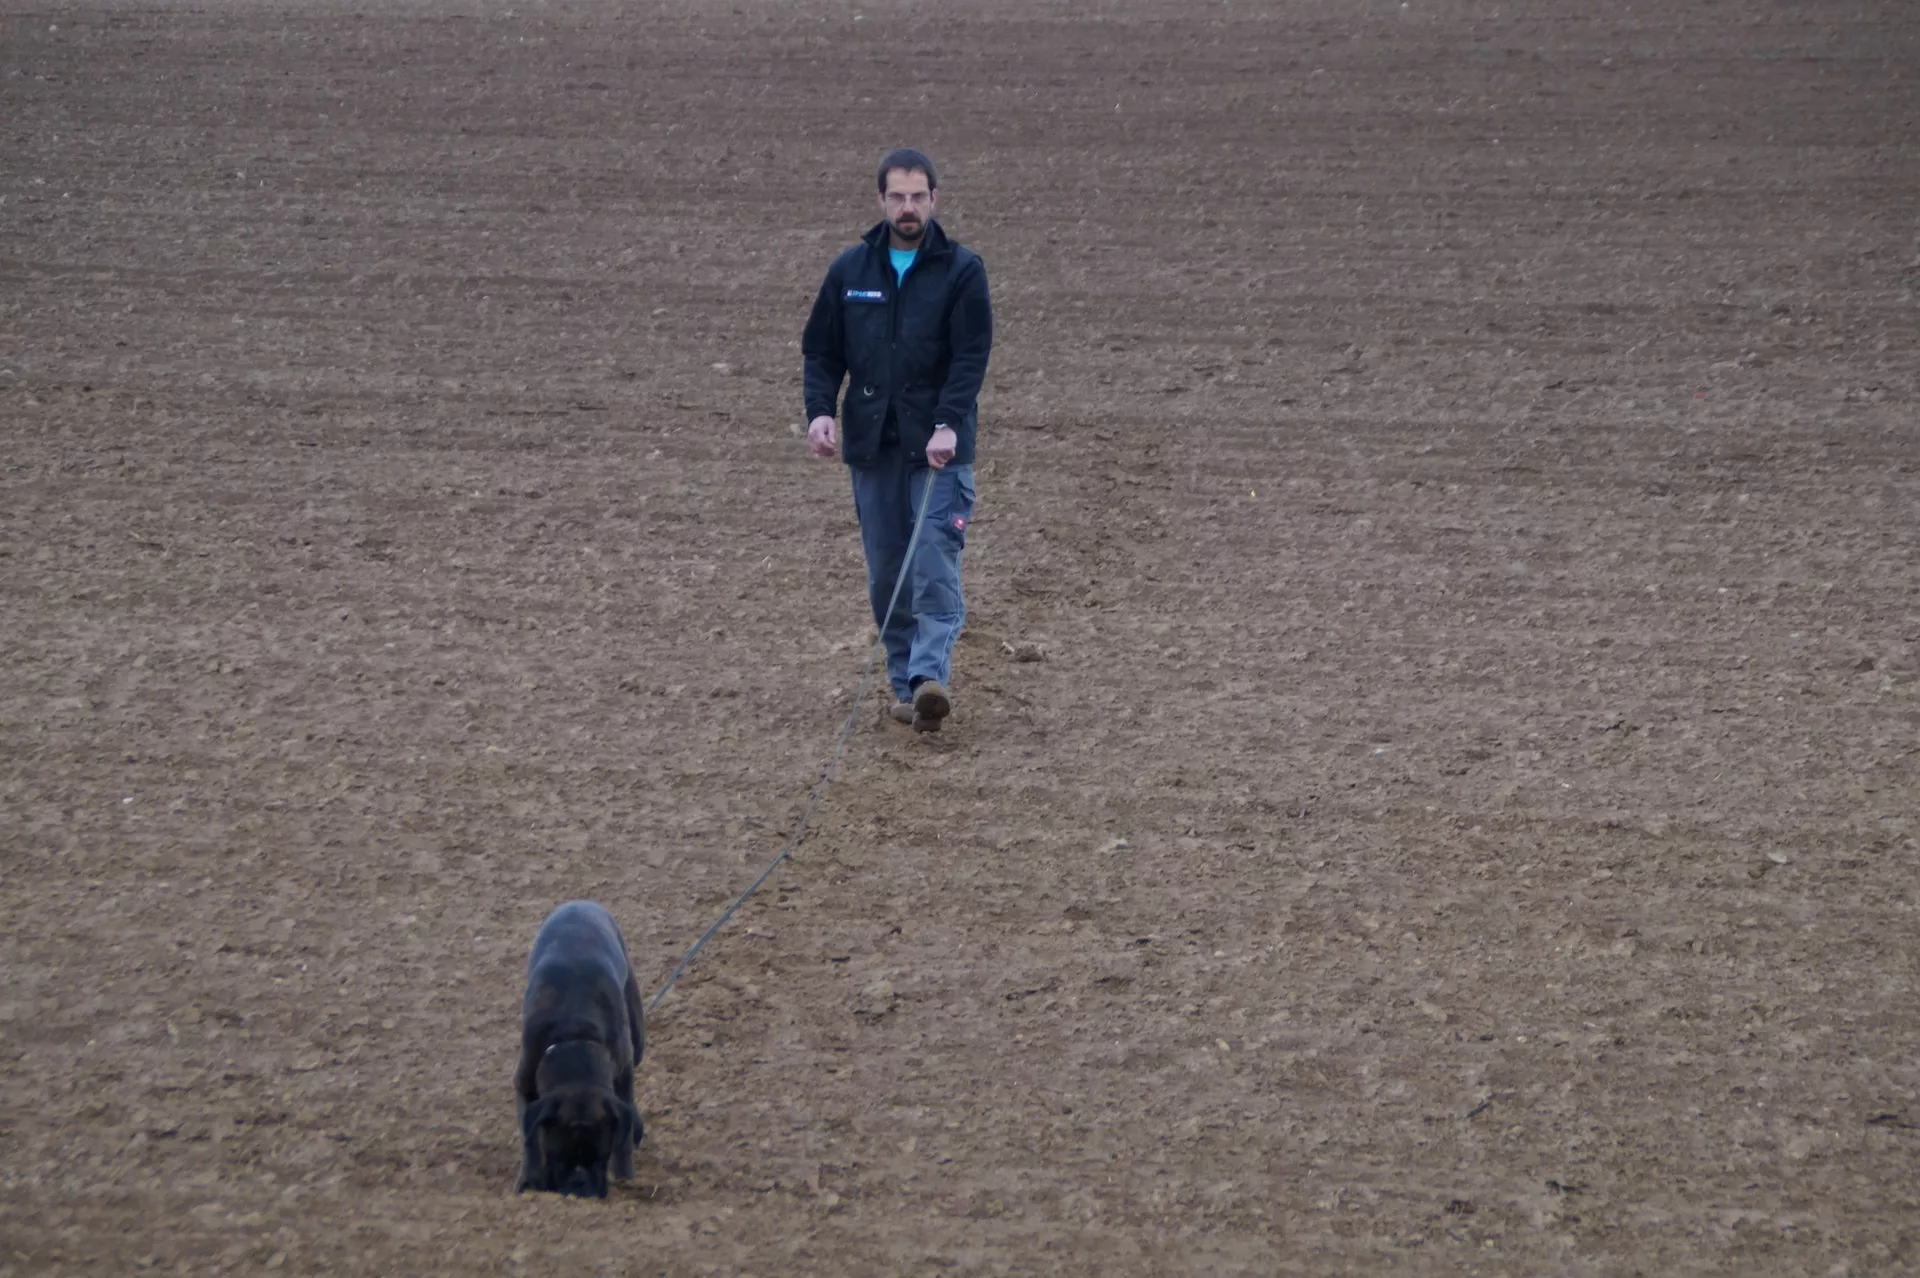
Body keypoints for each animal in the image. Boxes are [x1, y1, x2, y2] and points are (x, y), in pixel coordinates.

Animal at [514, 900, 645, 1197]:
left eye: (601, 1159)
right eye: (557, 1157)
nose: (581, 1187)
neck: (574, 1037)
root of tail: (579, 902)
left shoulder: (624, 1072)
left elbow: (624, 1131)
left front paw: (625, 1176)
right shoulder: (524, 1085)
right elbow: (530, 1139)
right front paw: (530, 1180)